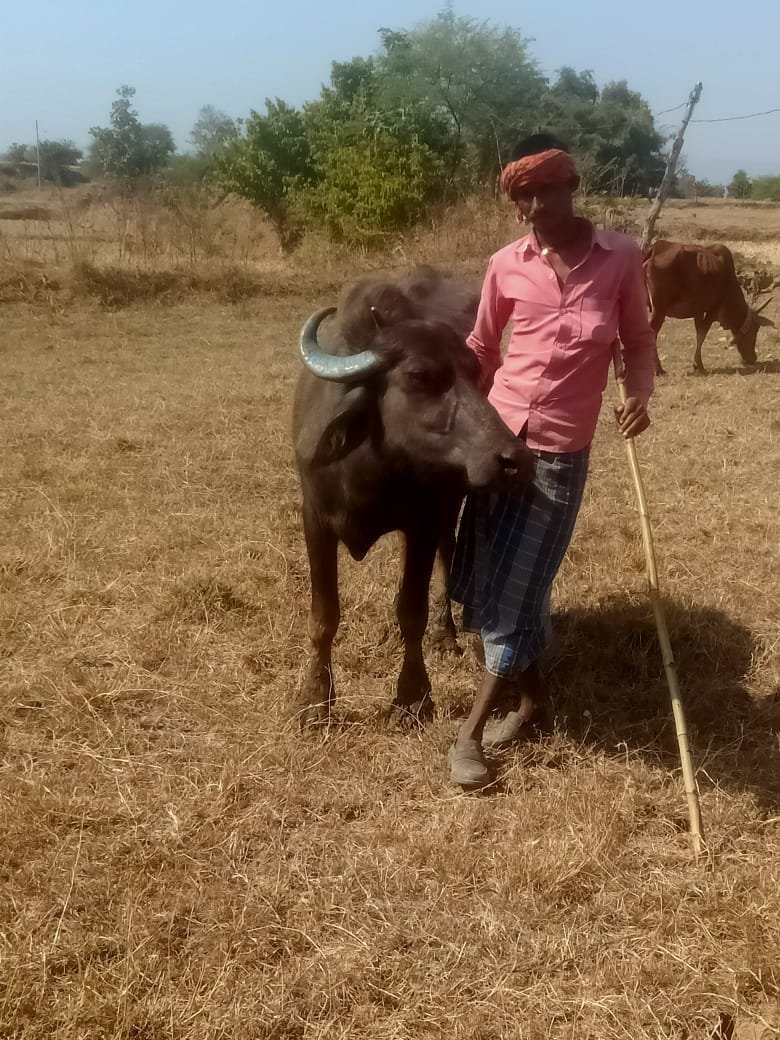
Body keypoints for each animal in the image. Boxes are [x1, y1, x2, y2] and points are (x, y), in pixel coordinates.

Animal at [293, 268, 534, 727]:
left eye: (474, 373)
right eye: (420, 376)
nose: (514, 459)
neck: (367, 468)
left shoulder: (421, 522)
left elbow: (411, 612)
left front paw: (412, 696)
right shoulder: (314, 519)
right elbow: (323, 616)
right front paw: (314, 700)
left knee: (449, 552)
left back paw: (446, 632)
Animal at [643, 240, 775, 374]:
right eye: (755, 330)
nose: (753, 358)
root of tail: (654, 249)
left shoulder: (698, 311)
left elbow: (699, 334)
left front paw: (697, 364)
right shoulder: (712, 310)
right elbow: (702, 335)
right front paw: (699, 365)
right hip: (659, 310)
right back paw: (659, 370)